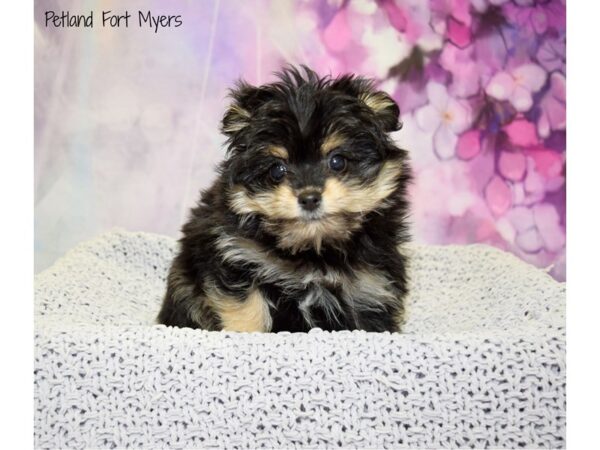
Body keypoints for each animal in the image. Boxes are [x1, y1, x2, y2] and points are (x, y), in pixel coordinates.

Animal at [158, 67, 412, 334]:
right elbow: (247, 312)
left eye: (337, 161)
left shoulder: (371, 289)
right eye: (277, 170)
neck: (314, 250)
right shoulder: (239, 259)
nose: (309, 198)